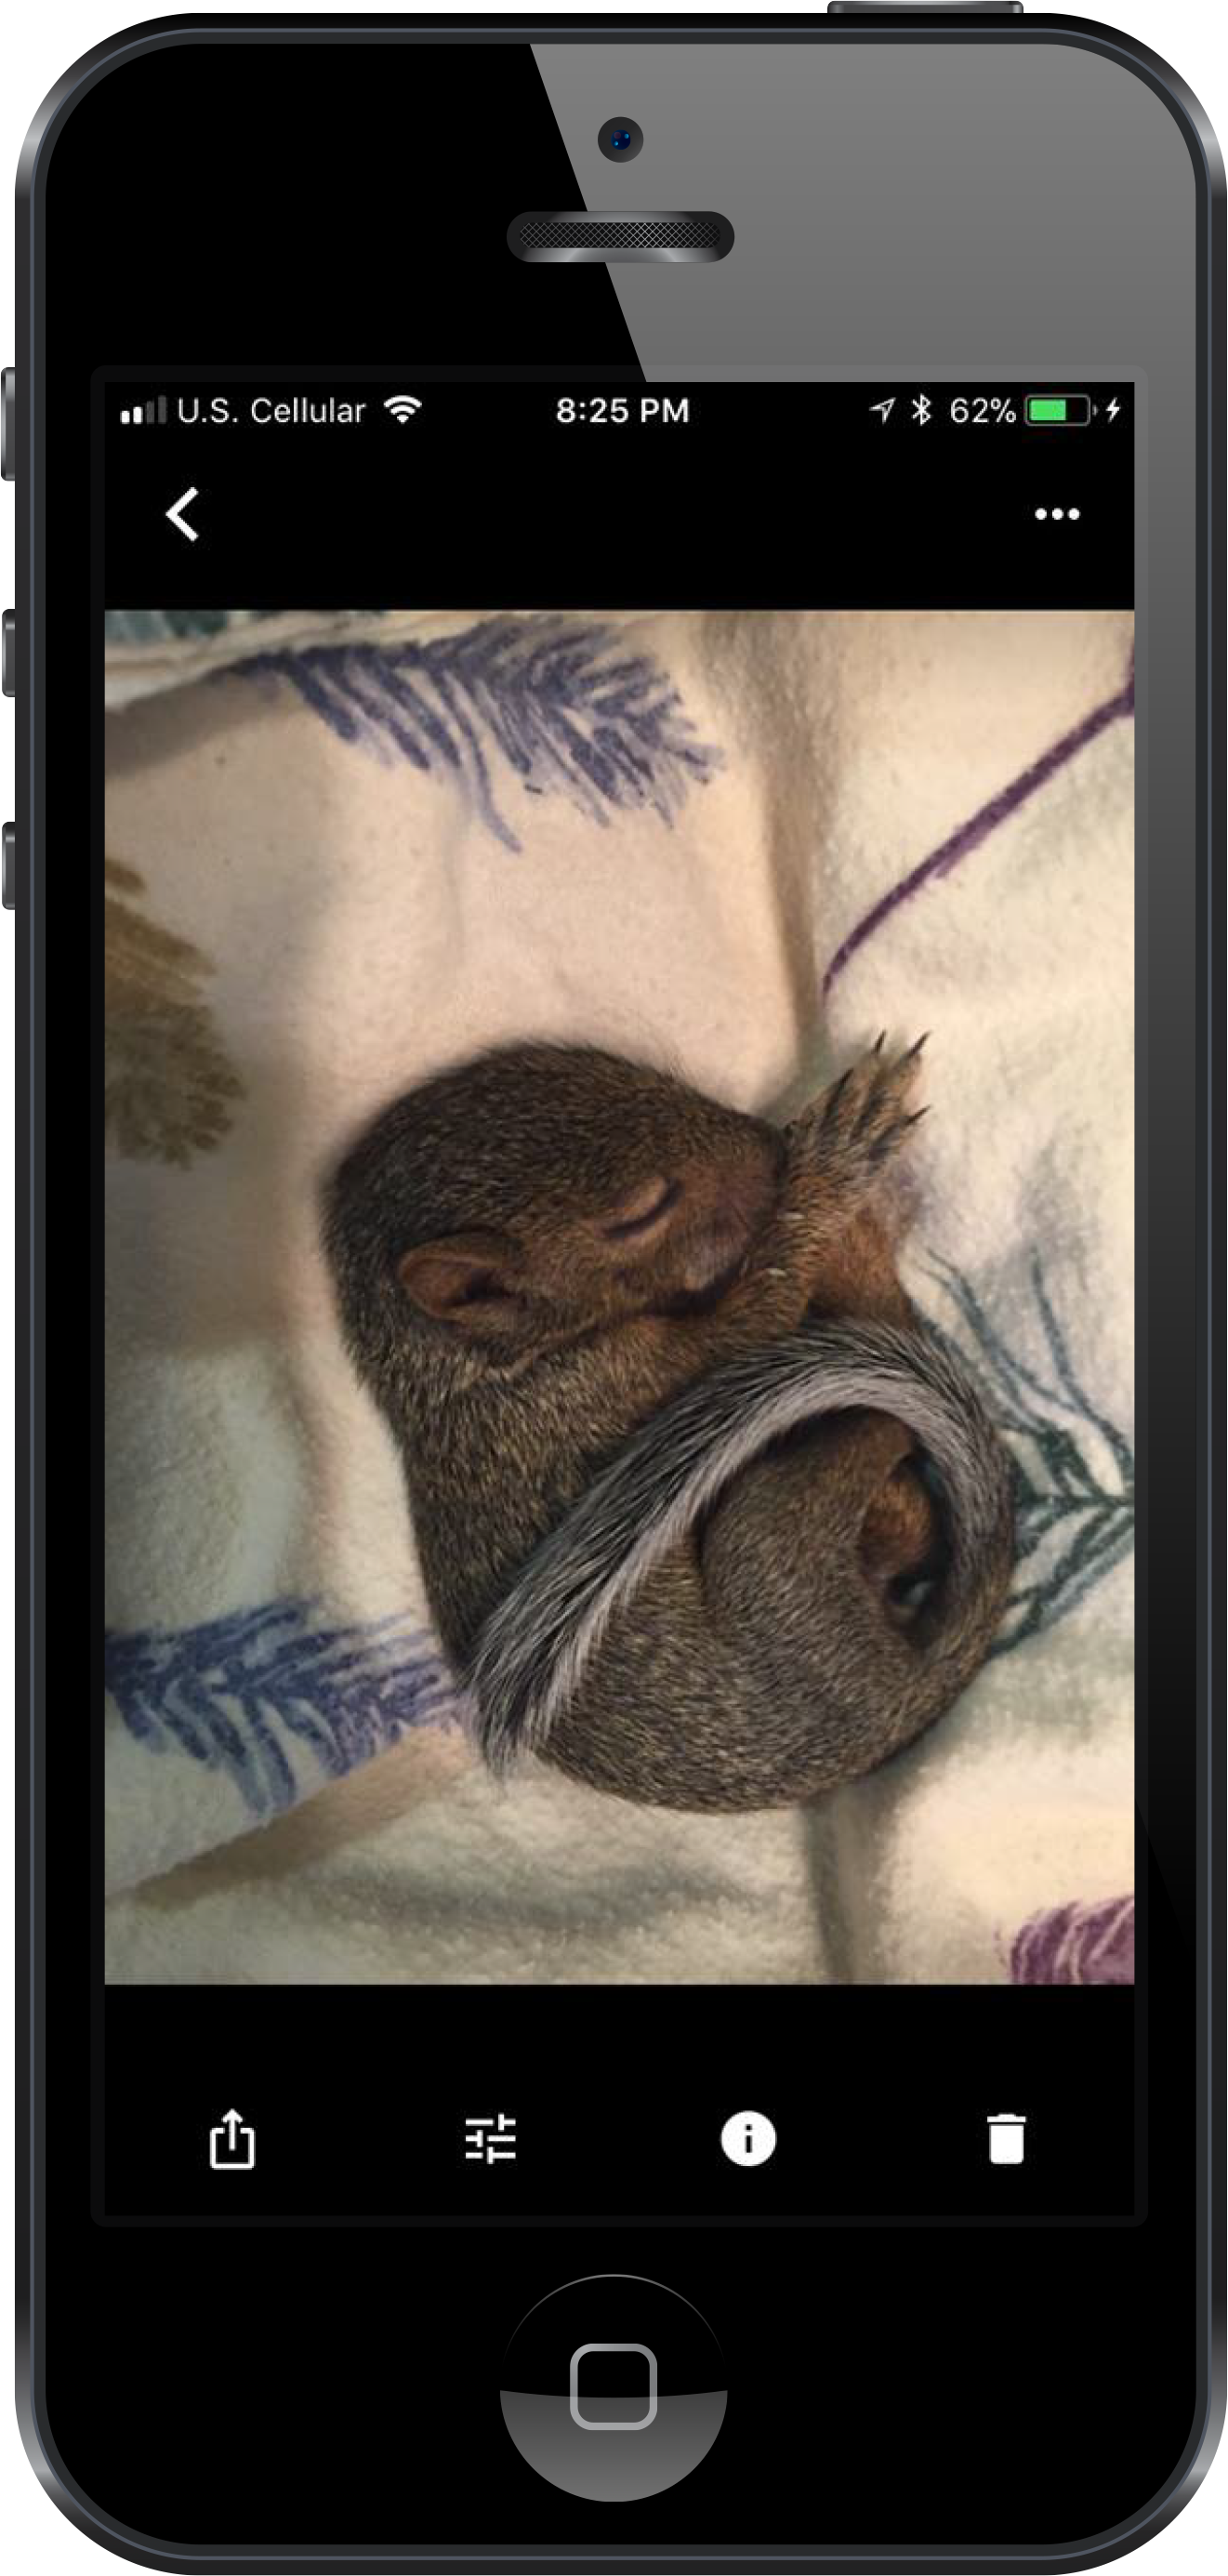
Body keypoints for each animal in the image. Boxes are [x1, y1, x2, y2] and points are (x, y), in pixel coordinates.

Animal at [323, 1037, 1015, 1811]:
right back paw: (858, 1231)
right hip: (765, 1542)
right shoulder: (602, 1382)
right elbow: (751, 1316)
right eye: (638, 1213)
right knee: (876, 1422)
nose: (771, 1147)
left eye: (611, 1064)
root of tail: (889, 1706)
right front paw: (826, 1179)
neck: (462, 1375)